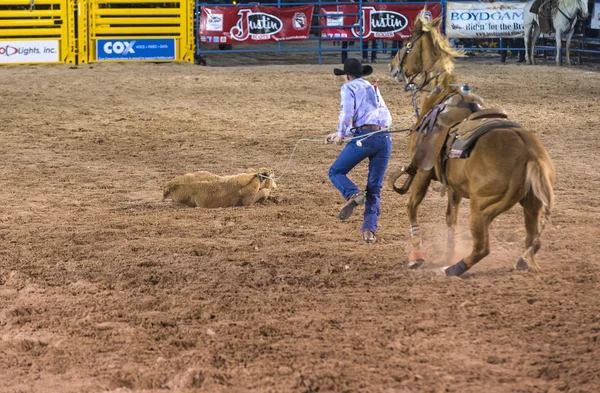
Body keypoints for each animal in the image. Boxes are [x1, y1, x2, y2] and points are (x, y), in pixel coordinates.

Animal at [386, 13, 556, 276]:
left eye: (406, 45)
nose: (393, 67)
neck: (441, 98)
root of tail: (531, 156)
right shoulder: (454, 187)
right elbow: (450, 219)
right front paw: (448, 251)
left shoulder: (422, 172)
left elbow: (411, 207)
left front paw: (416, 256)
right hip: (532, 206)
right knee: (532, 241)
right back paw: (521, 262)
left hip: (482, 208)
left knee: (482, 248)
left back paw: (452, 269)